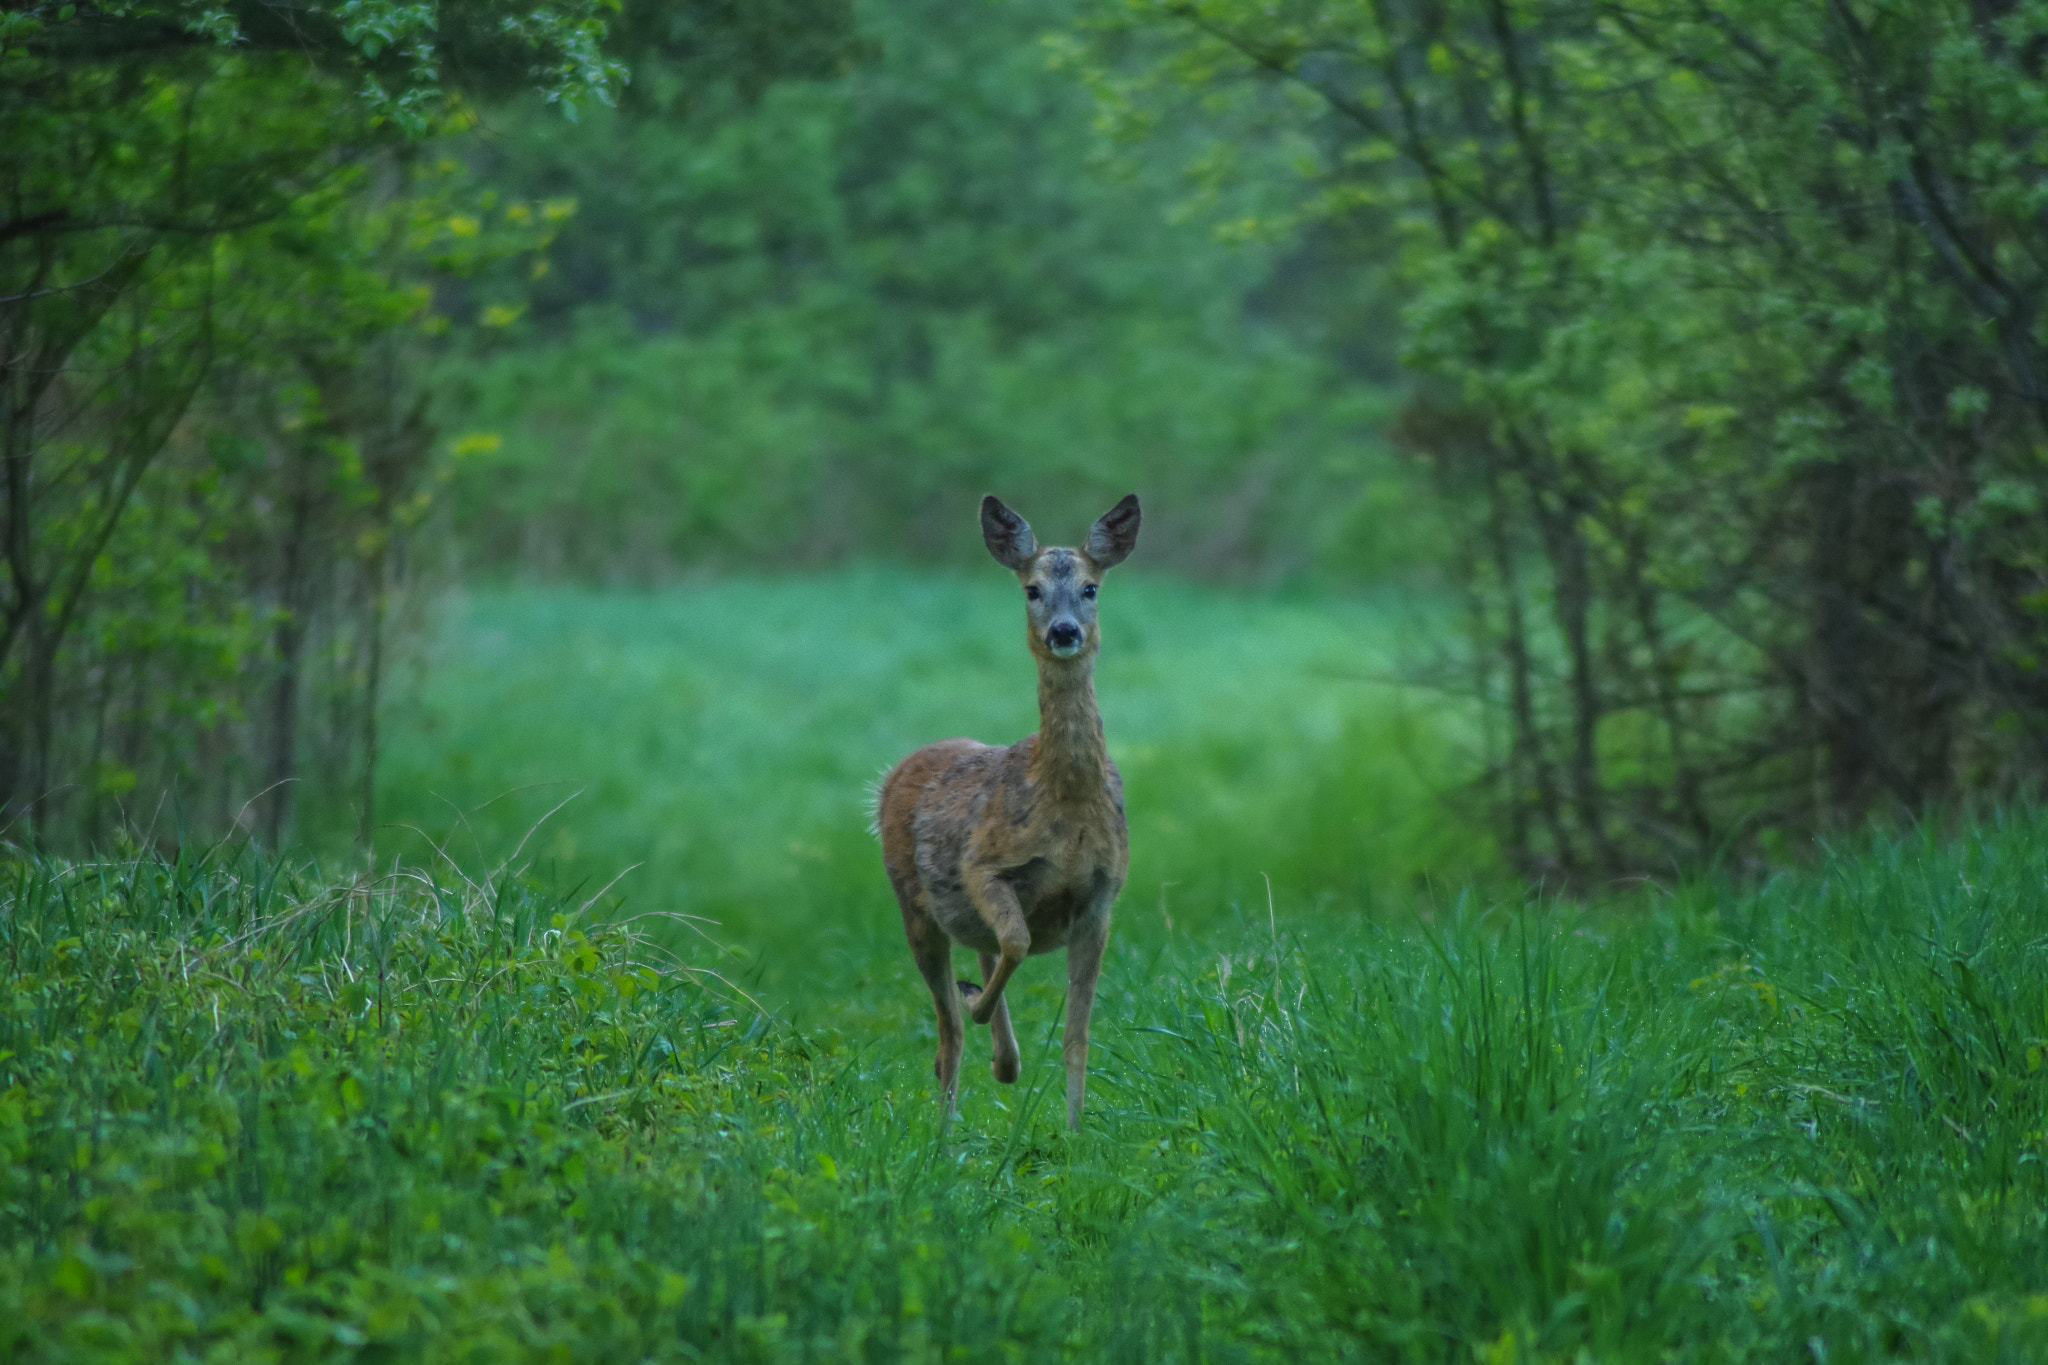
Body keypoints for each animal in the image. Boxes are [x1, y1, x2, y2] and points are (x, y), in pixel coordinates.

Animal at [876, 491, 1146, 1129]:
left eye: (1092, 587)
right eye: (1032, 589)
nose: (1064, 631)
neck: (1065, 801)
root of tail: (895, 774)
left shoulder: (1102, 896)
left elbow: (1079, 1034)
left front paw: (1076, 1131)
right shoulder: (985, 865)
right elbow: (1019, 943)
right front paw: (982, 1017)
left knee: (980, 958)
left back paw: (1003, 1059)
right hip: (913, 903)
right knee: (948, 1030)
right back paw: (947, 1129)